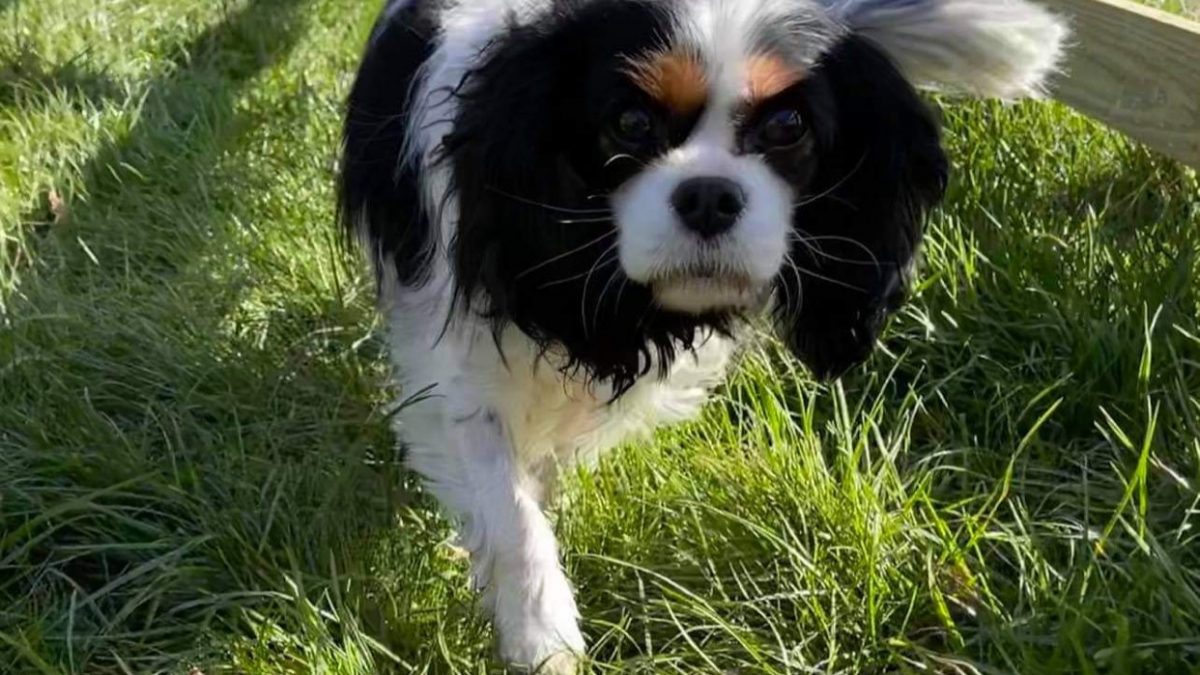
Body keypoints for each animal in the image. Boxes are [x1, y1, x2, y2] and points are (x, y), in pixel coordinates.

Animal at [340, 0, 1070, 667]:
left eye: (787, 126)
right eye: (631, 124)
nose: (710, 195)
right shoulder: (457, 374)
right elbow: (509, 509)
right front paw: (541, 635)